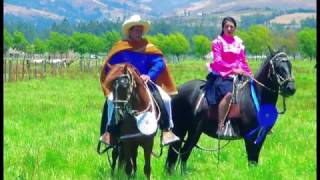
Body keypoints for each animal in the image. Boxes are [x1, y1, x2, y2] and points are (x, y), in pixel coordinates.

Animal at [166, 48, 296, 174]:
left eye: (290, 65)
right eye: (278, 67)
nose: (291, 88)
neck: (255, 97)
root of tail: (178, 90)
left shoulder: (261, 136)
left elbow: (254, 160)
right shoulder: (250, 137)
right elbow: (251, 161)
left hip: (191, 130)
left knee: (182, 153)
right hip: (186, 129)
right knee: (180, 152)